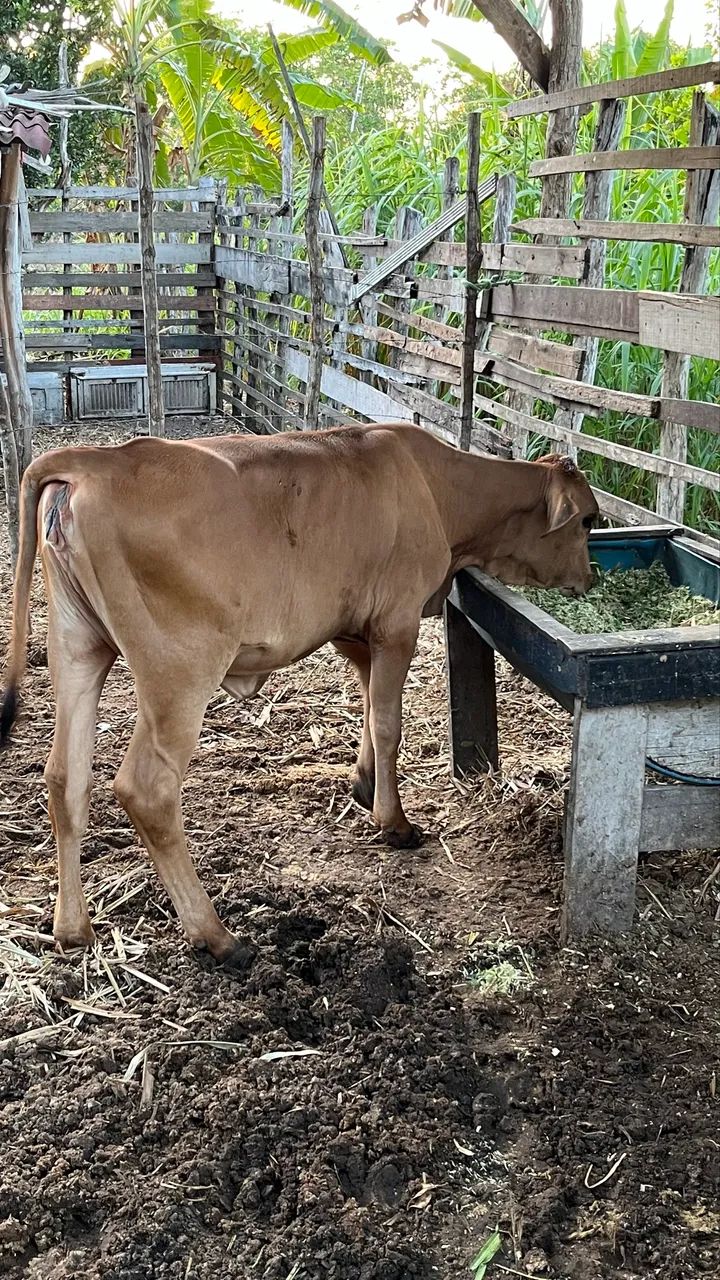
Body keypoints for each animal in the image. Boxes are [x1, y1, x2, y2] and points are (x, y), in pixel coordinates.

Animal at [1, 424, 598, 965]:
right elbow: (389, 722)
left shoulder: (354, 629)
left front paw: (363, 782)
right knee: (146, 790)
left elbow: (368, 706)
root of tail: (96, 460)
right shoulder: (396, 622)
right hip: (180, 672)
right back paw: (216, 936)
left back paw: (73, 929)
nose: (591, 580)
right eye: (590, 519)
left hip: (77, 648)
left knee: (65, 778)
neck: (438, 487)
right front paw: (394, 823)